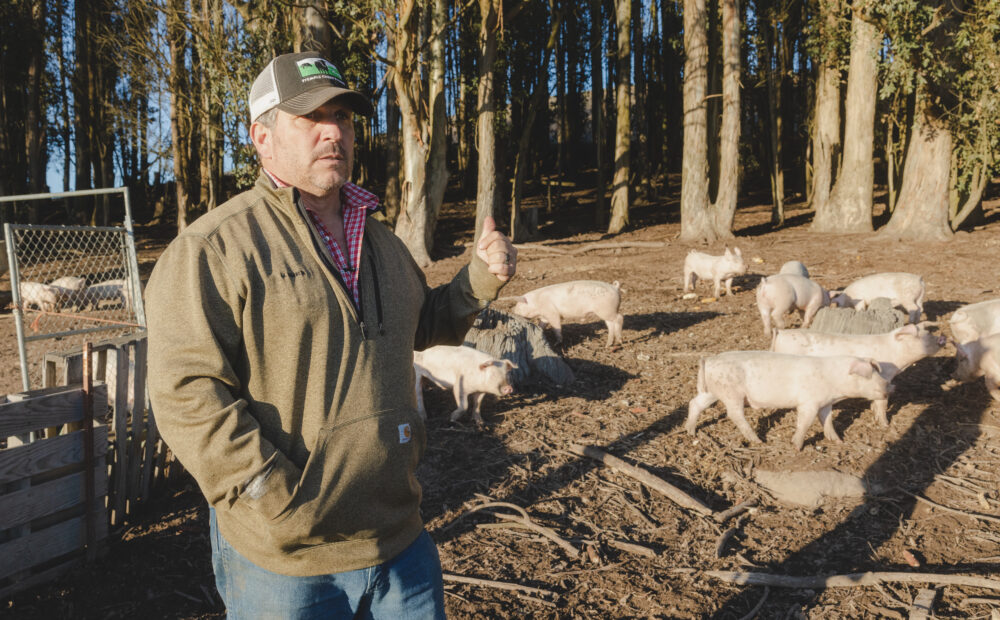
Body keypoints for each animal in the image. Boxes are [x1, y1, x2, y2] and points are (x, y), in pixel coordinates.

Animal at [688, 354, 892, 450]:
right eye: (868, 374)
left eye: (877, 371)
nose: (889, 387)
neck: (835, 382)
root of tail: (709, 359)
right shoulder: (809, 402)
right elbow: (805, 422)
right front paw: (797, 446)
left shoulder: (825, 403)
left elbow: (827, 420)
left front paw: (838, 441)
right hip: (732, 392)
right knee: (734, 414)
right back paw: (758, 441)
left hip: (712, 391)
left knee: (694, 403)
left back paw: (690, 431)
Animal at [772, 320, 944, 426]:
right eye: (924, 336)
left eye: (929, 333)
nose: (943, 337)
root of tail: (780, 333)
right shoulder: (883, 377)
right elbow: (883, 402)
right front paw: (885, 425)